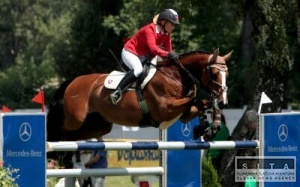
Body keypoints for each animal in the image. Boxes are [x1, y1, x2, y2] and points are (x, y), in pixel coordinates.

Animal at [46, 49, 232, 144]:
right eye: (214, 74)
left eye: (227, 74)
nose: (224, 102)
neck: (176, 75)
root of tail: (72, 82)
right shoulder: (165, 108)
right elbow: (196, 100)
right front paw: (207, 127)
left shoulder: (183, 114)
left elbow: (201, 103)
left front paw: (209, 127)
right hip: (75, 119)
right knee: (60, 129)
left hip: (98, 125)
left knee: (75, 136)